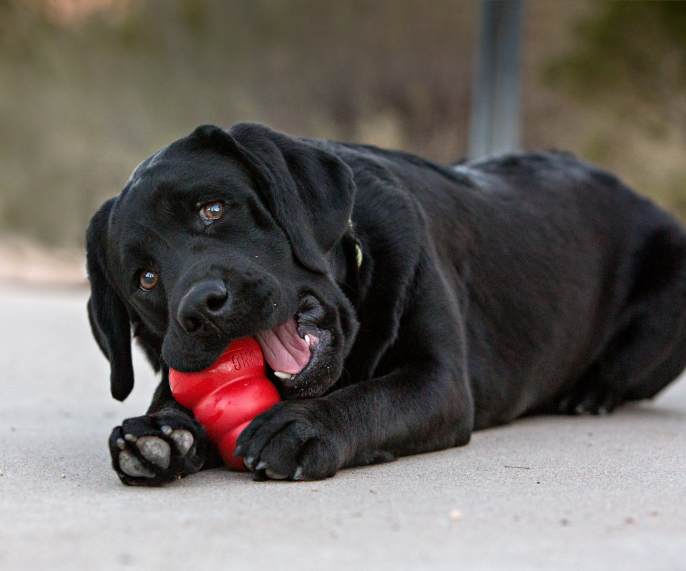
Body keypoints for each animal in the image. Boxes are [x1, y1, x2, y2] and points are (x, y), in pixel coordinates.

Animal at [86, 122, 686, 488]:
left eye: (212, 208)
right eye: (145, 278)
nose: (200, 307)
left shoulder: (439, 379)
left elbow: (372, 399)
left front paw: (303, 428)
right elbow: (169, 396)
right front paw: (159, 433)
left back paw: (588, 393)